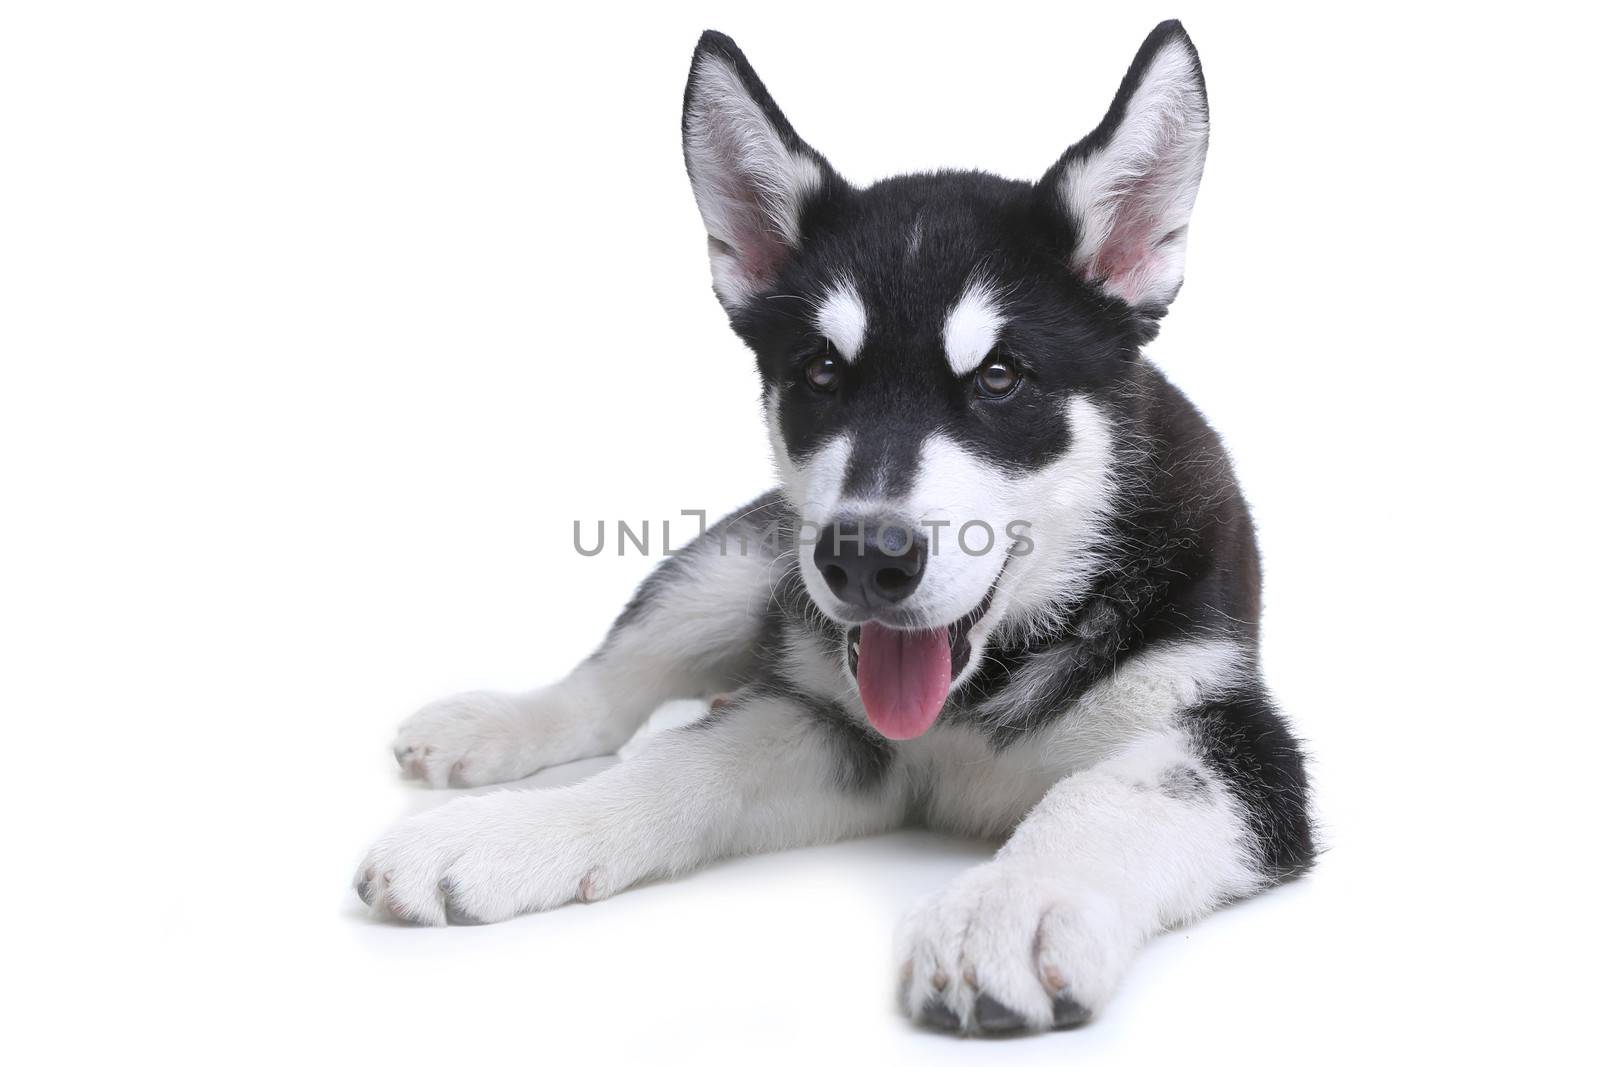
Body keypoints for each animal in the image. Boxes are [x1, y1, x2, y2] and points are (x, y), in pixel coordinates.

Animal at [356, 18, 1318, 1036]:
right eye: (821, 371)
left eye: (1002, 376)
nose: (864, 560)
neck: (985, 686)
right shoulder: (835, 726)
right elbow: (678, 761)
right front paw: (514, 830)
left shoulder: (1232, 736)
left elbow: (1115, 793)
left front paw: (1011, 904)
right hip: (744, 564)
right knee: (611, 682)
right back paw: (496, 723)